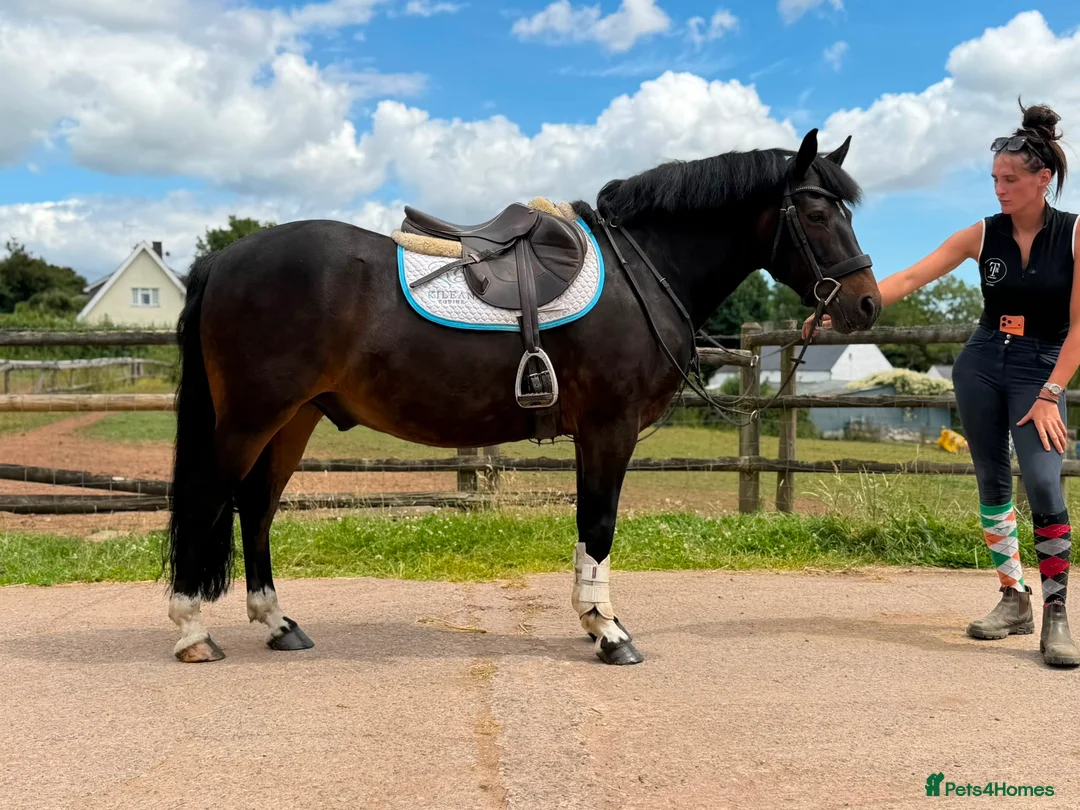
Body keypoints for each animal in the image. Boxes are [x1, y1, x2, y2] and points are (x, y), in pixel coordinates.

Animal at [165, 128, 880, 666]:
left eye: (847, 214)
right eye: (818, 214)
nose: (868, 303)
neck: (642, 273)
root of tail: (222, 260)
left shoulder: (596, 433)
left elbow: (589, 526)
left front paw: (597, 621)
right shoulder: (610, 427)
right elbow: (599, 525)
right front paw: (608, 633)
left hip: (294, 420)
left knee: (255, 508)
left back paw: (278, 623)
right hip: (252, 417)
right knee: (208, 498)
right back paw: (194, 631)